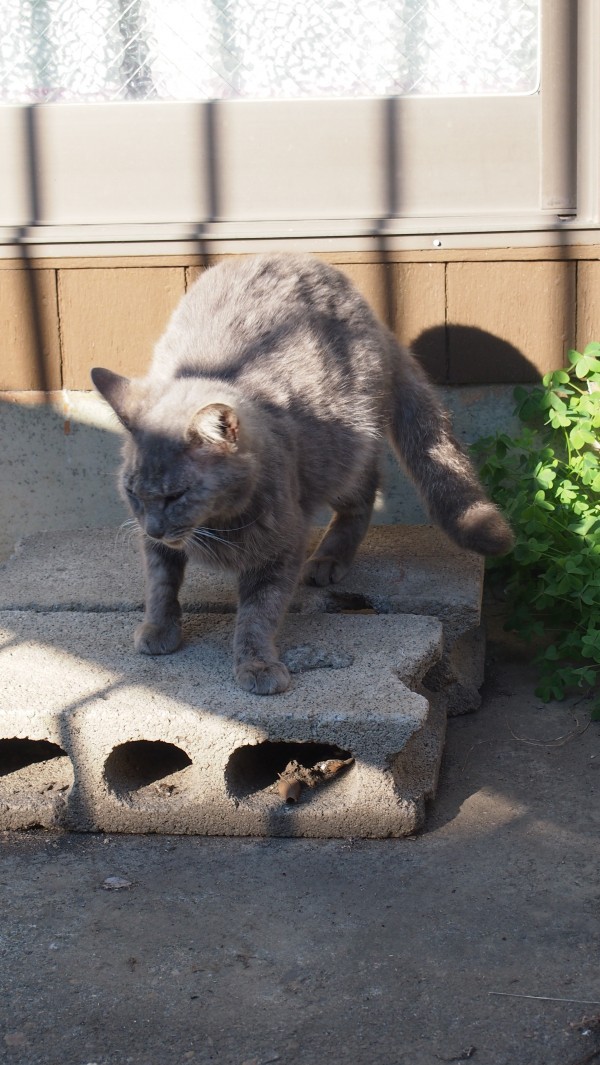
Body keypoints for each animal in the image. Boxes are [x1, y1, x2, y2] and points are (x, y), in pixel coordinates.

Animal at [92, 253, 511, 694]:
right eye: (134, 493)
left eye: (177, 495)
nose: (154, 527)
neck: (216, 526)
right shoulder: (156, 547)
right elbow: (160, 584)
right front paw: (158, 629)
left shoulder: (280, 549)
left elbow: (258, 613)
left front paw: (257, 665)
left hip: (340, 456)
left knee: (364, 492)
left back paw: (328, 558)